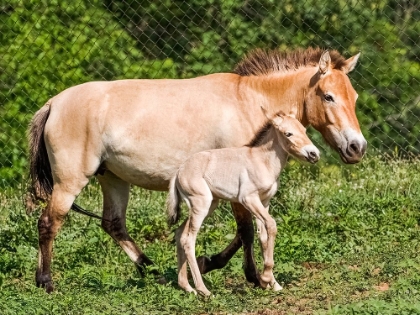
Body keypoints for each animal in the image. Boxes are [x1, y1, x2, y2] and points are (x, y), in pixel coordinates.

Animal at [166, 110, 320, 296]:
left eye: (304, 130)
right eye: (288, 133)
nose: (314, 154)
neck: (262, 161)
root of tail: (179, 171)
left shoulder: (264, 202)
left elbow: (263, 236)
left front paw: (272, 283)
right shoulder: (249, 199)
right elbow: (272, 225)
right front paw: (265, 278)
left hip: (209, 205)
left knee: (180, 233)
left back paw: (187, 287)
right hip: (201, 205)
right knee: (189, 240)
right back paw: (204, 290)